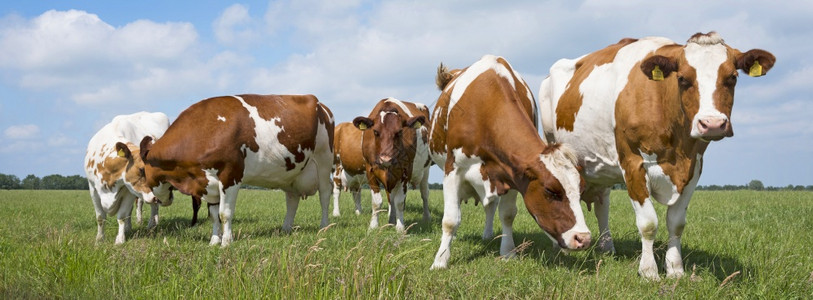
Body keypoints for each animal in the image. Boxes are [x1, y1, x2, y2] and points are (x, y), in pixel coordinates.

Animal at [84, 111, 173, 245]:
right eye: (141, 169)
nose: (163, 198)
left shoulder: (129, 191)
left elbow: (122, 216)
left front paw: (120, 239)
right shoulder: (93, 188)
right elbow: (100, 217)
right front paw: (99, 239)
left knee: (151, 207)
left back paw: (151, 224)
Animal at [140, 94, 334, 246]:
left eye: (142, 172)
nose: (155, 199)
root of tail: (319, 103)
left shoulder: (230, 176)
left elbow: (225, 213)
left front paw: (226, 242)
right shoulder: (208, 183)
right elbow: (214, 214)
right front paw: (214, 241)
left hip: (324, 160)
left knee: (324, 195)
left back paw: (324, 226)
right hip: (291, 172)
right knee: (292, 199)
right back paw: (286, 228)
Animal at [352, 97, 434, 231]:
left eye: (399, 132)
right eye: (375, 132)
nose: (386, 159)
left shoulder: (406, 170)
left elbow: (400, 202)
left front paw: (400, 227)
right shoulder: (370, 170)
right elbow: (377, 202)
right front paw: (373, 226)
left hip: (425, 170)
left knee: (424, 193)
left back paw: (426, 217)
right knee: (391, 197)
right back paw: (391, 219)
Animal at [428, 54, 592, 270]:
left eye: (582, 189)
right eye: (550, 191)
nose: (583, 238)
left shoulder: (512, 173)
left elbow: (507, 214)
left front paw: (507, 253)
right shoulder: (453, 169)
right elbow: (450, 219)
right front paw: (440, 261)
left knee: (490, 205)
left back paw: (488, 235)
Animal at [536, 31, 776, 280]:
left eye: (732, 77)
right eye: (683, 79)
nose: (712, 124)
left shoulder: (695, 167)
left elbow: (676, 222)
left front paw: (675, 269)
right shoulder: (633, 163)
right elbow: (648, 223)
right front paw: (649, 271)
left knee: (603, 203)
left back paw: (607, 247)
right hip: (553, 143)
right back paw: (560, 248)